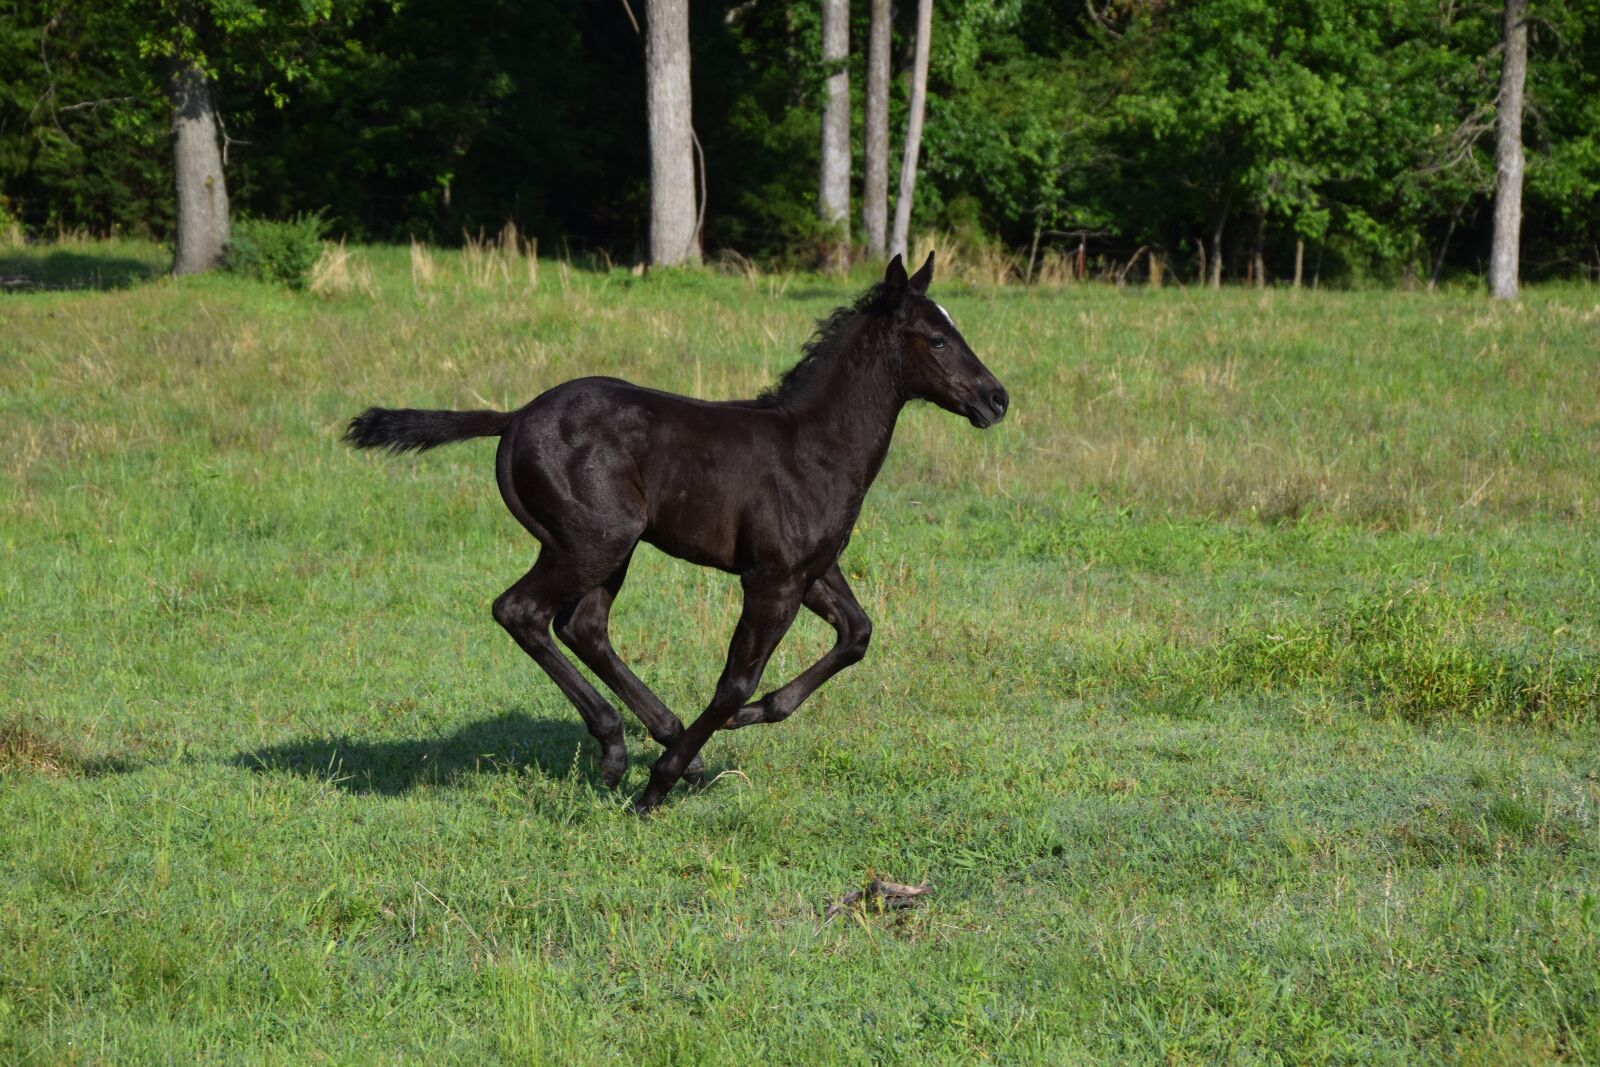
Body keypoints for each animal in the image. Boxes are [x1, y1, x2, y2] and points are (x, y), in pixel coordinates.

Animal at [344, 252, 1008, 813]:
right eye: (938, 338)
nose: (996, 399)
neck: (815, 446)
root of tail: (514, 419)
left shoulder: (813, 570)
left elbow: (858, 634)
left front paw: (744, 722)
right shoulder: (772, 580)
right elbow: (735, 681)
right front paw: (659, 784)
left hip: (605, 548)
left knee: (583, 627)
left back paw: (658, 740)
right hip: (595, 540)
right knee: (521, 611)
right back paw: (625, 751)